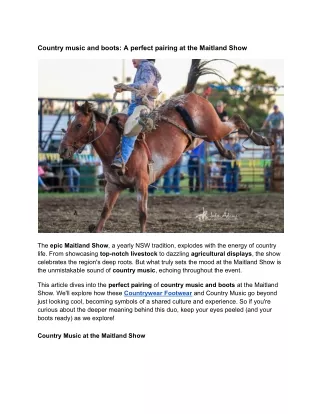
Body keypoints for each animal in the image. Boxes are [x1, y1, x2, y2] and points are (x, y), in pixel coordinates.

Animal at [58, 59, 272, 233]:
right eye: (69, 124)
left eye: (78, 125)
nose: (62, 150)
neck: (114, 147)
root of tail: (189, 95)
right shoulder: (113, 186)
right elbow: (104, 213)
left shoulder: (142, 183)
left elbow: (142, 215)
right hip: (199, 137)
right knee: (215, 138)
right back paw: (228, 152)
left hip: (213, 127)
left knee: (235, 119)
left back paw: (263, 140)